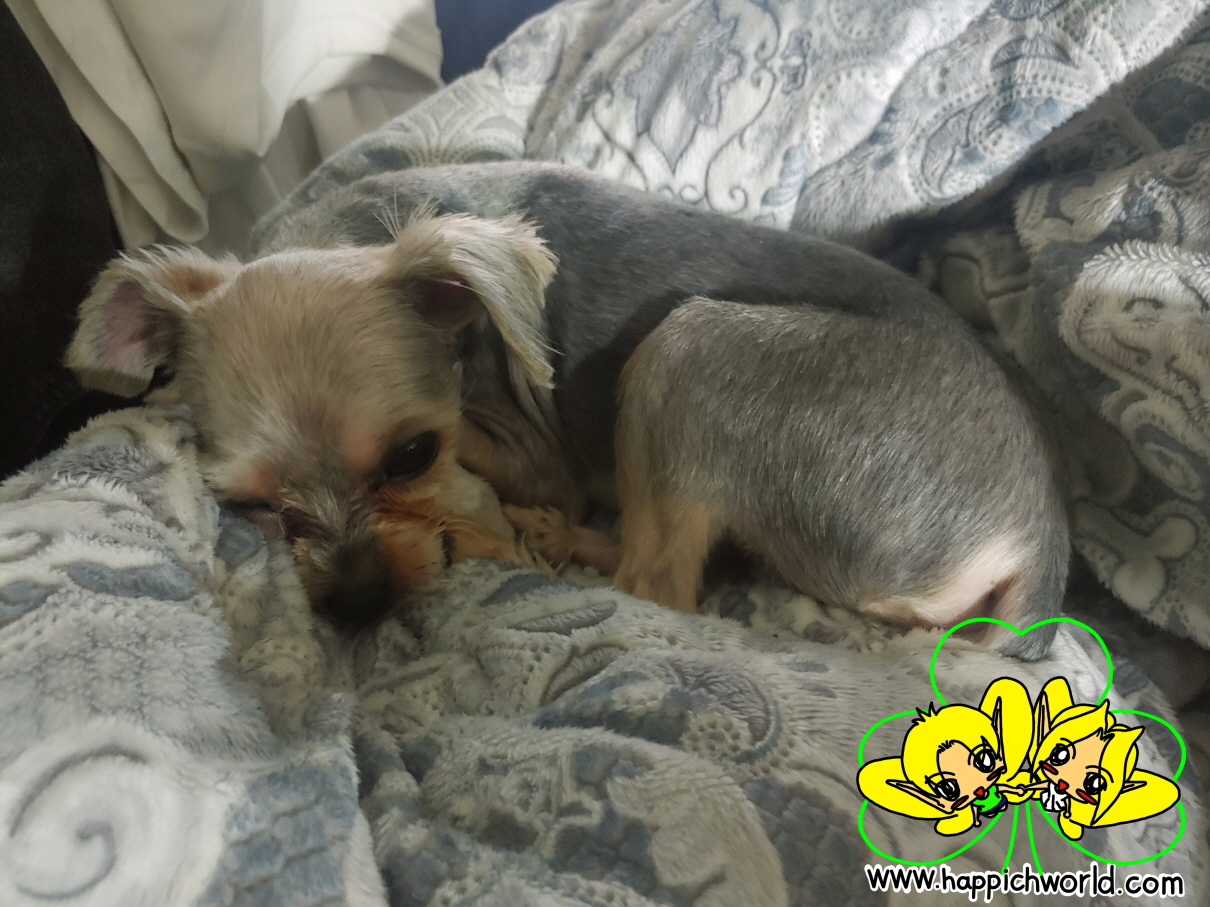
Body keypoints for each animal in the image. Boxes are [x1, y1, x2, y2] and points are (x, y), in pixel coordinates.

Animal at [66, 161, 1068, 657]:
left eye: (411, 455)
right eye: (246, 501)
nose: (356, 603)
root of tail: (1035, 536)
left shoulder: (525, 442)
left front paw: (491, 519)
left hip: (692, 350)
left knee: (659, 586)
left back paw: (560, 545)